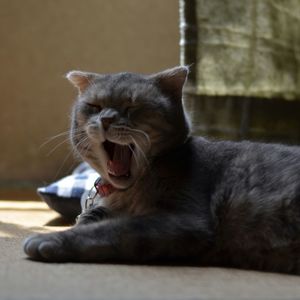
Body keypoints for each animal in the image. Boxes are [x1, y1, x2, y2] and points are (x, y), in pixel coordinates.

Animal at [24, 67, 300, 274]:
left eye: (132, 107)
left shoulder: (185, 219)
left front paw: (46, 240)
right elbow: (88, 220)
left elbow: (112, 230)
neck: (127, 193)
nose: (106, 119)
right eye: (94, 106)